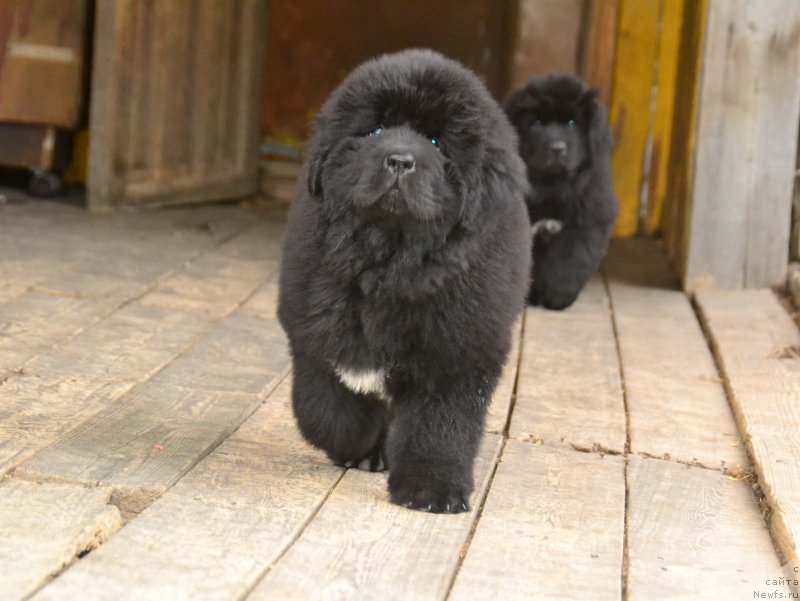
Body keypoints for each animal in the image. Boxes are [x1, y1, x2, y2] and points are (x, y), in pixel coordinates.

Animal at [276, 49, 532, 512]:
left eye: (436, 142)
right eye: (375, 130)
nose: (398, 160)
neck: (390, 259)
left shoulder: (459, 350)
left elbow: (440, 425)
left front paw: (431, 490)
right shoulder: (311, 324)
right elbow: (325, 406)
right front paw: (358, 443)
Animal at [506, 74, 620, 310]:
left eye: (571, 123)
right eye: (537, 123)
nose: (557, 148)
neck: (552, 186)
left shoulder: (584, 225)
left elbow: (569, 262)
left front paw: (557, 299)